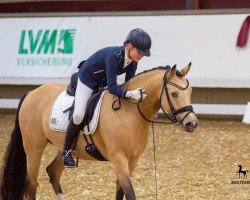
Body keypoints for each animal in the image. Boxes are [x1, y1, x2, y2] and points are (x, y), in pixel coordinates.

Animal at [0, 63, 198, 200]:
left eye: (190, 92)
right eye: (174, 94)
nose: (192, 123)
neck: (129, 111)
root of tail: (32, 93)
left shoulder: (131, 161)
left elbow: (120, 193)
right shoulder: (118, 159)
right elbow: (129, 194)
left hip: (62, 149)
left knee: (52, 172)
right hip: (34, 149)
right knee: (32, 183)